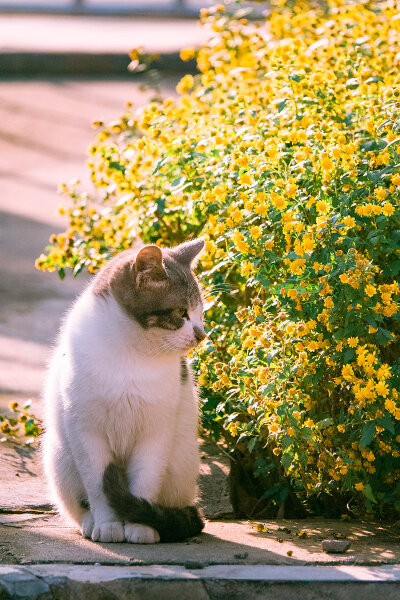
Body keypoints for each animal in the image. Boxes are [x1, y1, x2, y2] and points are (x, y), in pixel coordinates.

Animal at [42, 239, 206, 544]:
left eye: (201, 313)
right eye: (181, 313)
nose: (202, 335)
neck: (132, 352)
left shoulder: (156, 432)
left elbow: (145, 480)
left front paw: (141, 527)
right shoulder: (86, 432)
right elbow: (98, 487)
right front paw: (108, 525)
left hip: (182, 462)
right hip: (59, 458)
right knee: (77, 505)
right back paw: (89, 523)